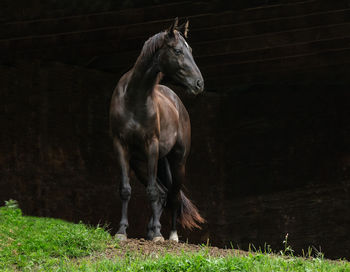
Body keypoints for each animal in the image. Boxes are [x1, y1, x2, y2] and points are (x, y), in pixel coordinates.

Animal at [108, 17, 204, 242]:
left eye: (190, 50)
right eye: (177, 51)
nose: (199, 84)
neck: (134, 98)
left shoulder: (151, 145)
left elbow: (151, 192)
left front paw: (159, 235)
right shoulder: (121, 146)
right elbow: (125, 189)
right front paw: (121, 231)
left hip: (177, 161)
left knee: (173, 195)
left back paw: (171, 235)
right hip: (142, 163)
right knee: (162, 193)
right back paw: (151, 230)